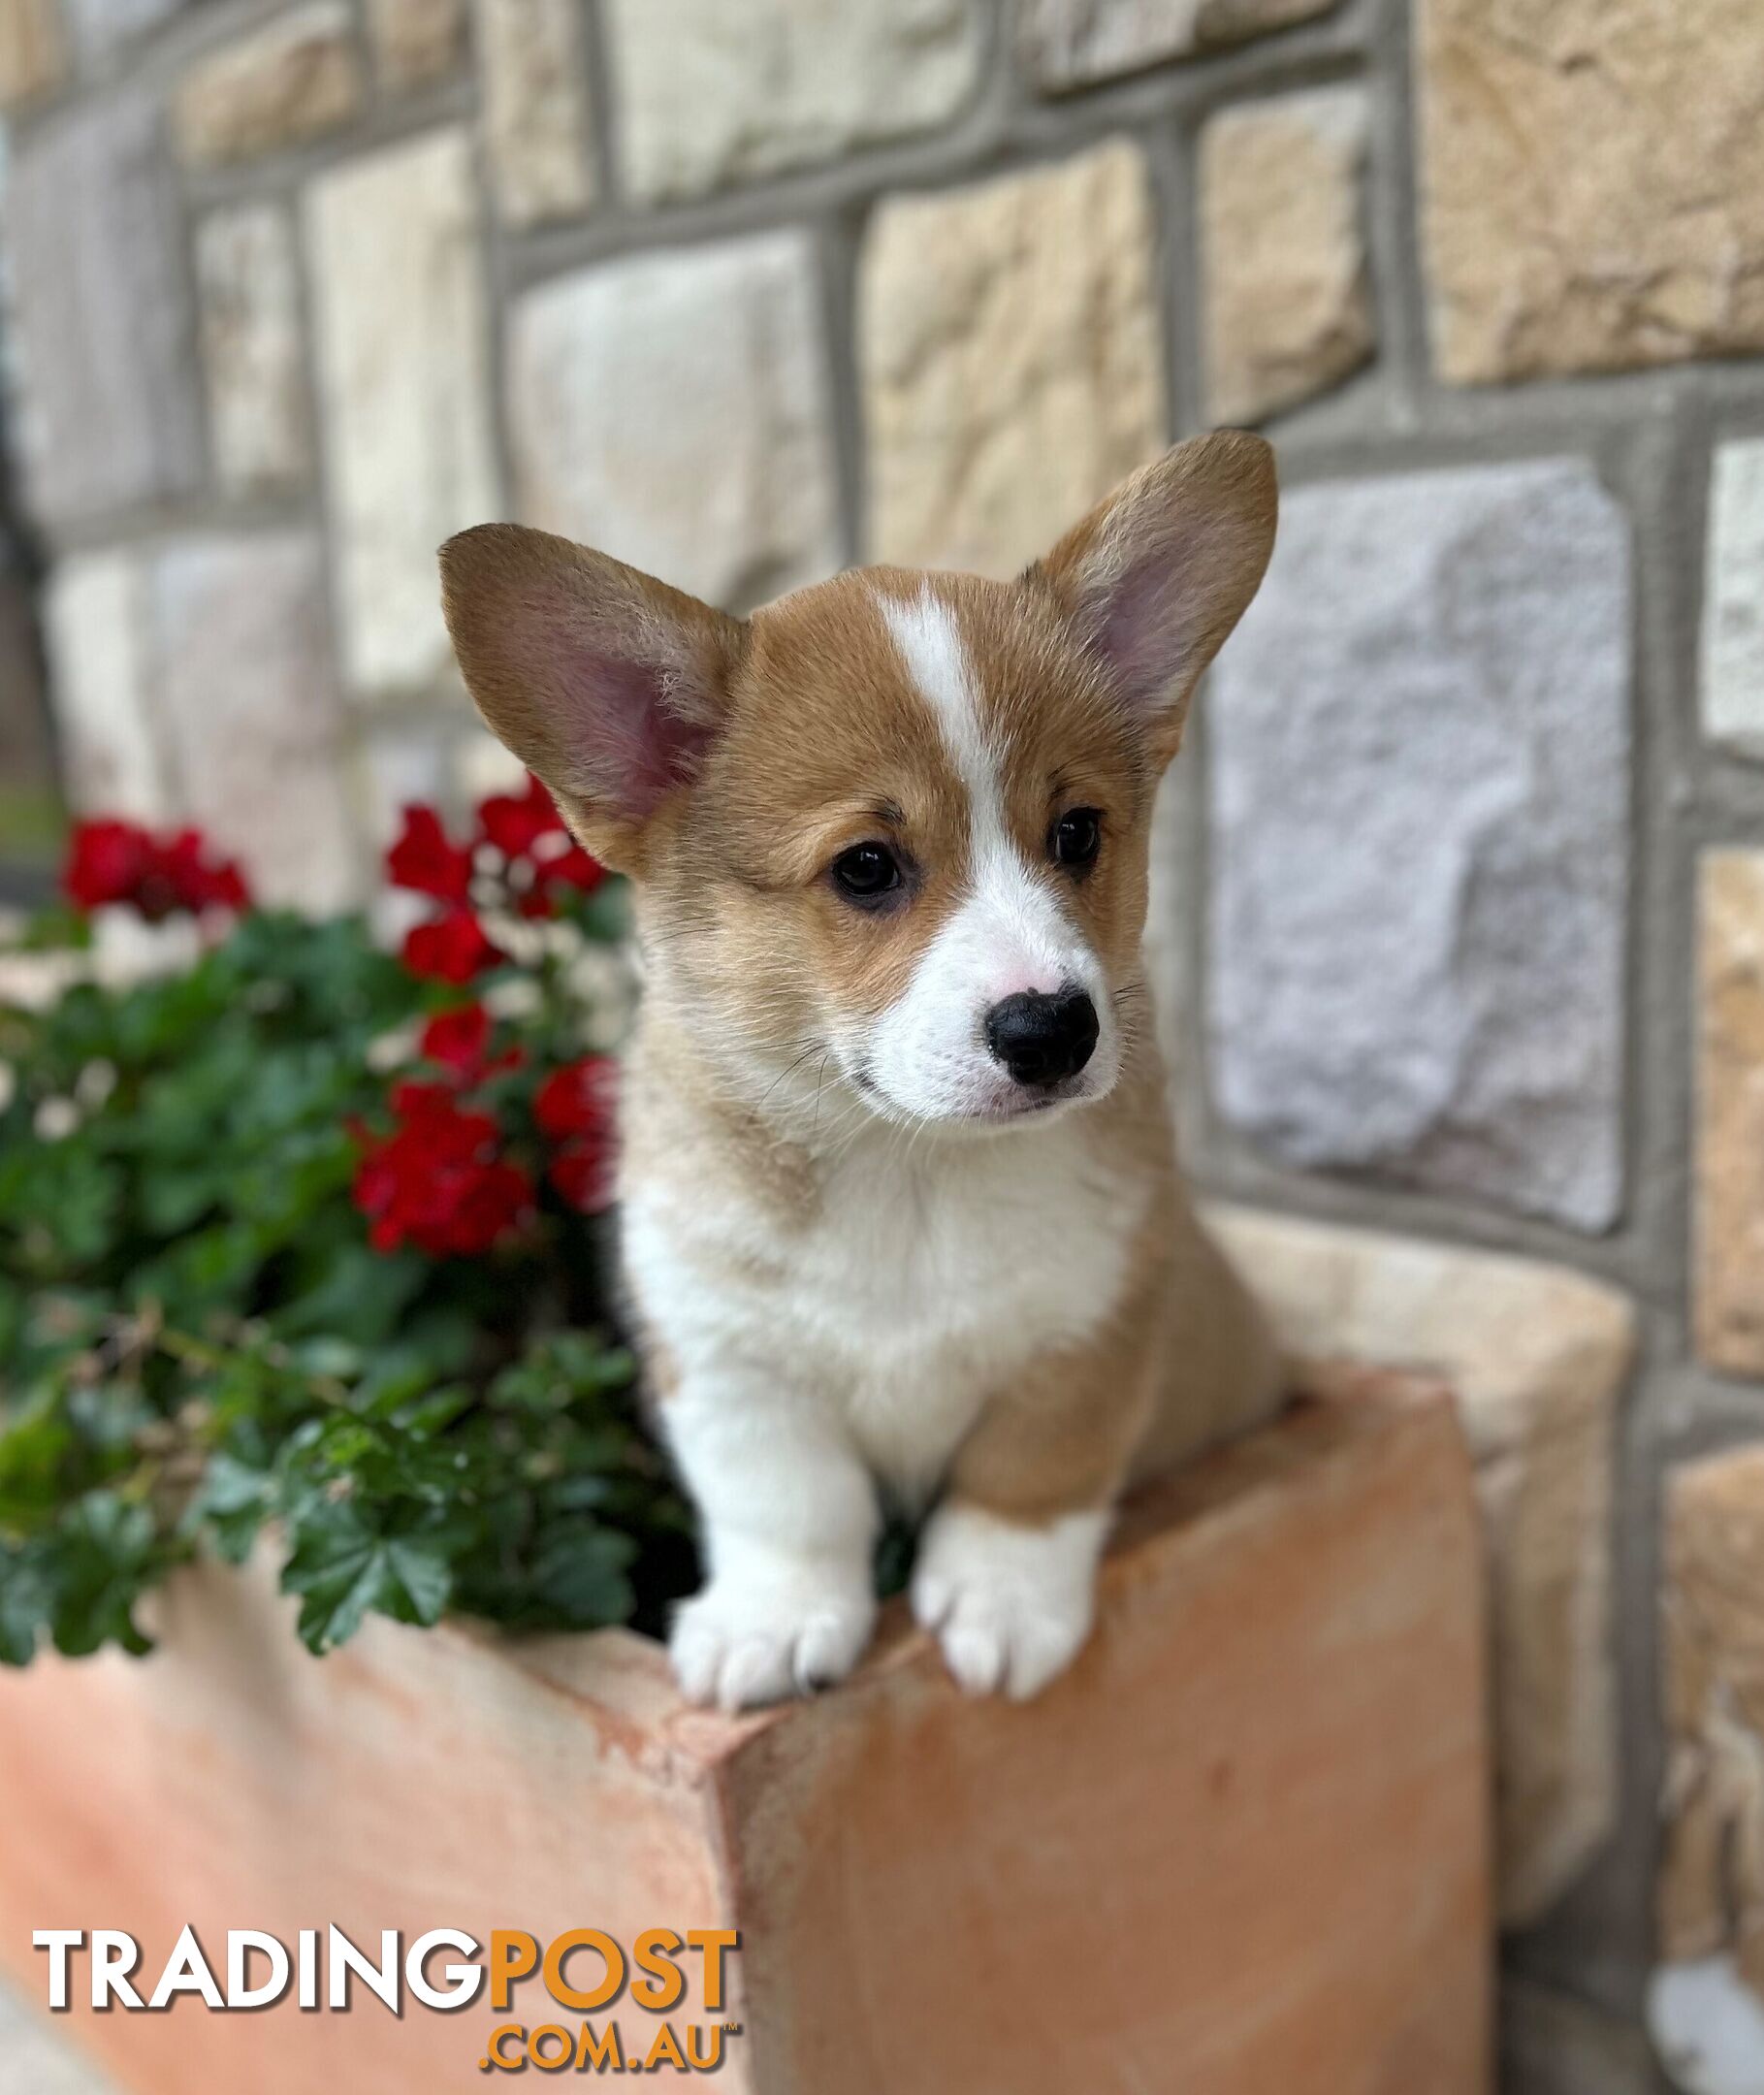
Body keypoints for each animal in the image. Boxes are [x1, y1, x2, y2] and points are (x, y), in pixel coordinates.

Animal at [443, 434, 1282, 1709]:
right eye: (867, 867)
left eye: (1078, 834)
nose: (1054, 1031)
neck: (908, 1171)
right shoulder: (725, 1360)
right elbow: (787, 1504)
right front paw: (771, 1623)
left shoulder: (1097, 1322)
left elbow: (1031, 1470)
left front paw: (1000, 1604)